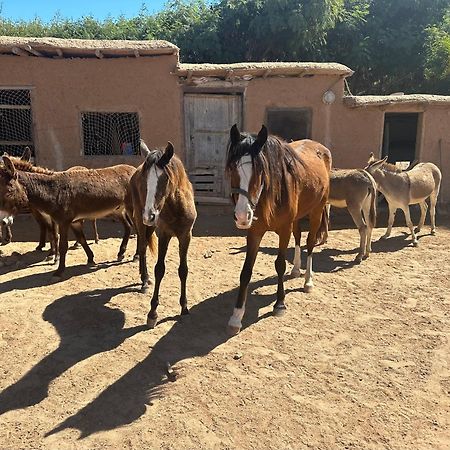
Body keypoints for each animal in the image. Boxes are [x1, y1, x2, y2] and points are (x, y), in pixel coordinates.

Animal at [0, 157, 135, 278]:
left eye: (9, 192)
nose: (2, 221)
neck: (53, 191)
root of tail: (133, 168)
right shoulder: (74, 222)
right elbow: (82, 239)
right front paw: (90, 258)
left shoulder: (63, 222)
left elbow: (62, 245)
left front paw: (59, 270)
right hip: (118, 210)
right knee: (128, 227)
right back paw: (121, 253)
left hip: (132, 208)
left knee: (137, 229)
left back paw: (136, 256)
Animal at [126, 140, 197, 326]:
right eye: (144, 179)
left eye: (165, 178)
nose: (149, 215)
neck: (176, 208)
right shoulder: (164, 234)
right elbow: (159, 269)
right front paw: (152, 313)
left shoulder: (186, 236)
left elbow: (183, 270)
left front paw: (184, 307)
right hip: (140, 221)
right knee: (142, 247)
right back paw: (144, 280)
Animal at [227, 125, 328, 336]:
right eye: (232, 168)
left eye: (259, 170)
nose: (242, 216)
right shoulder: (254, 232)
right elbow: (246, 271)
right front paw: (236, 316)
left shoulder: (284, 229)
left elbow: (279, 264)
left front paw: (280, 304)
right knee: (298, 237)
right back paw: (296, 269)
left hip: (316, 211)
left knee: (310, 243)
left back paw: (308, 281)